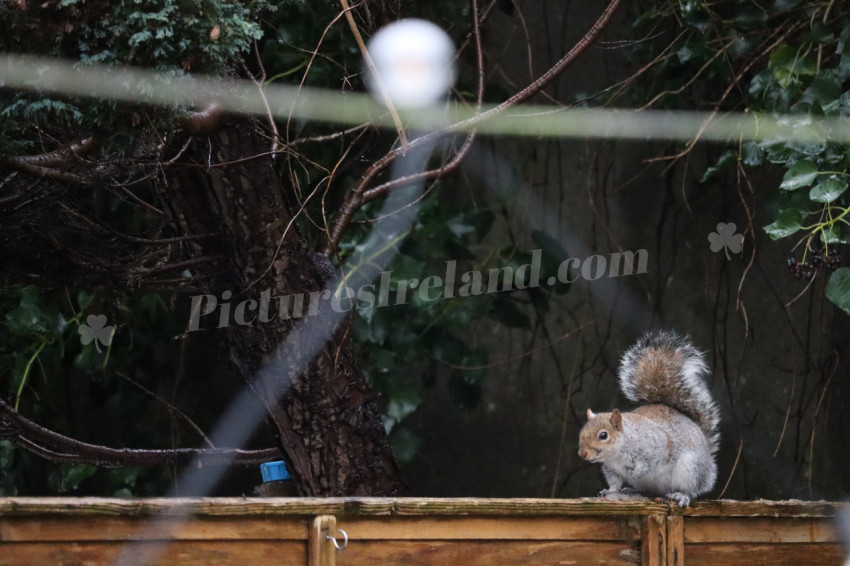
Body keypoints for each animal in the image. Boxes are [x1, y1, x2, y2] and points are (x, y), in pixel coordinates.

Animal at [576, 330, 716, 508]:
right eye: (582, 433)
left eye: (603, 435)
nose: (583, 454)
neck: (616, 454)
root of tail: (710, 465)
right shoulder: (612, 468)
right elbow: (615, 483)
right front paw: (609, 491)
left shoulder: (653, 444)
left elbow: (650, 461)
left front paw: (635, 472)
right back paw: (633, 490)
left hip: (691, 468)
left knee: (692, 489)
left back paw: (681, 495)